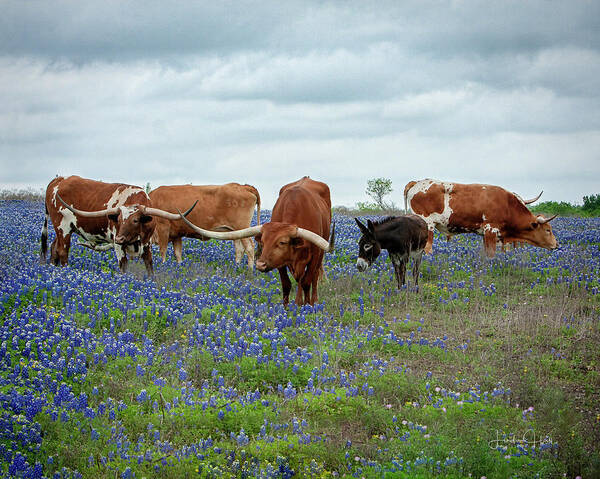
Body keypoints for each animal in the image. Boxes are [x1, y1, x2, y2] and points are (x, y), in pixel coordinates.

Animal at [40, 176, 195, 276]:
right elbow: (124, 266)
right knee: (62, 251)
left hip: (63, 229)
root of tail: (59, 179)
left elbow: (150, 268)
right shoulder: (118, 246)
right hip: (63, 227)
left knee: (54, 248)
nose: (120, 238)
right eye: (118, 220)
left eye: (135, 220)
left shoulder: (147, 245)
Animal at [173, 177, 336, 308]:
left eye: (282, 242)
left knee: (312, 279)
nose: (260, 264)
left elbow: (307, 281)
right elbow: (286, 284)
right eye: (263, 241)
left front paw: (307, 307)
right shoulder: (280, 262)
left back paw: (312, 301)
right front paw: (287, 308)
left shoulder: (315, 256)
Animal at [404, 178, 556, 256]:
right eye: (547, 230)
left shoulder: (486, 234)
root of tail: (417, 182)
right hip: (427, 225)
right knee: (427, 249)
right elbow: (491, 254)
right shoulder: (491, 230)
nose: (556, 244)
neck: (507, 205)